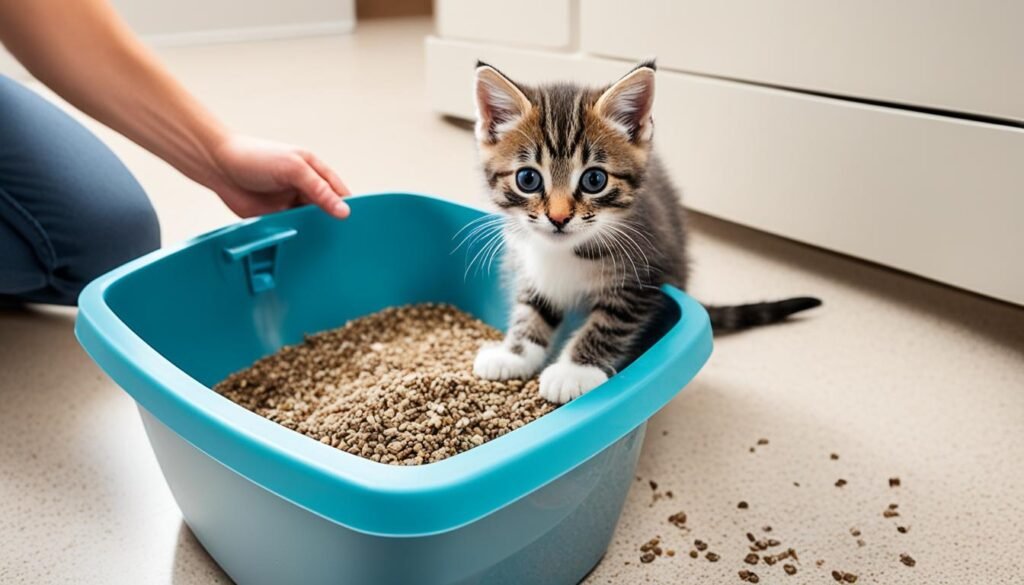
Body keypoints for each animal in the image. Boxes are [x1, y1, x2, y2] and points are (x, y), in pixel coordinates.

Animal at [468, 61, 819, 405]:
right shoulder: (529, 265)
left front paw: (574, 371)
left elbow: (609, 322)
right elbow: (531, 308)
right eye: (528, 179)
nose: (558, 217)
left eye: (594, 180)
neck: (565, 250)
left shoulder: (646, 270)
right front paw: (513, 354)